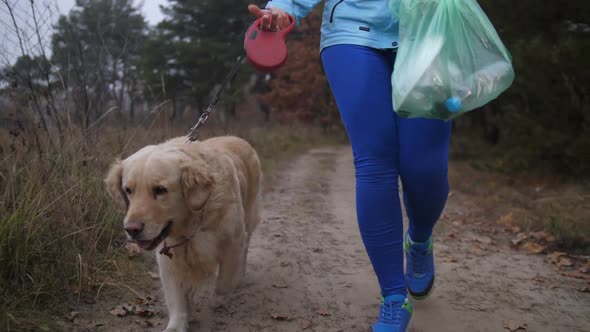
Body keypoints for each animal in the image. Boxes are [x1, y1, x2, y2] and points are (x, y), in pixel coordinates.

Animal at [105, 136, 262, 332]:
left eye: (160, 189)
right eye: (128, 190)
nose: (131, 229)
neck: (191, 223)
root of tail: (236, 137)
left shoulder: (233, 240)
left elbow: (224, 283)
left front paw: (217, 296)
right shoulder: (168, 257)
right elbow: (176, 297)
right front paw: (179, 322)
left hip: (249, 218)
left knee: (244, 251)